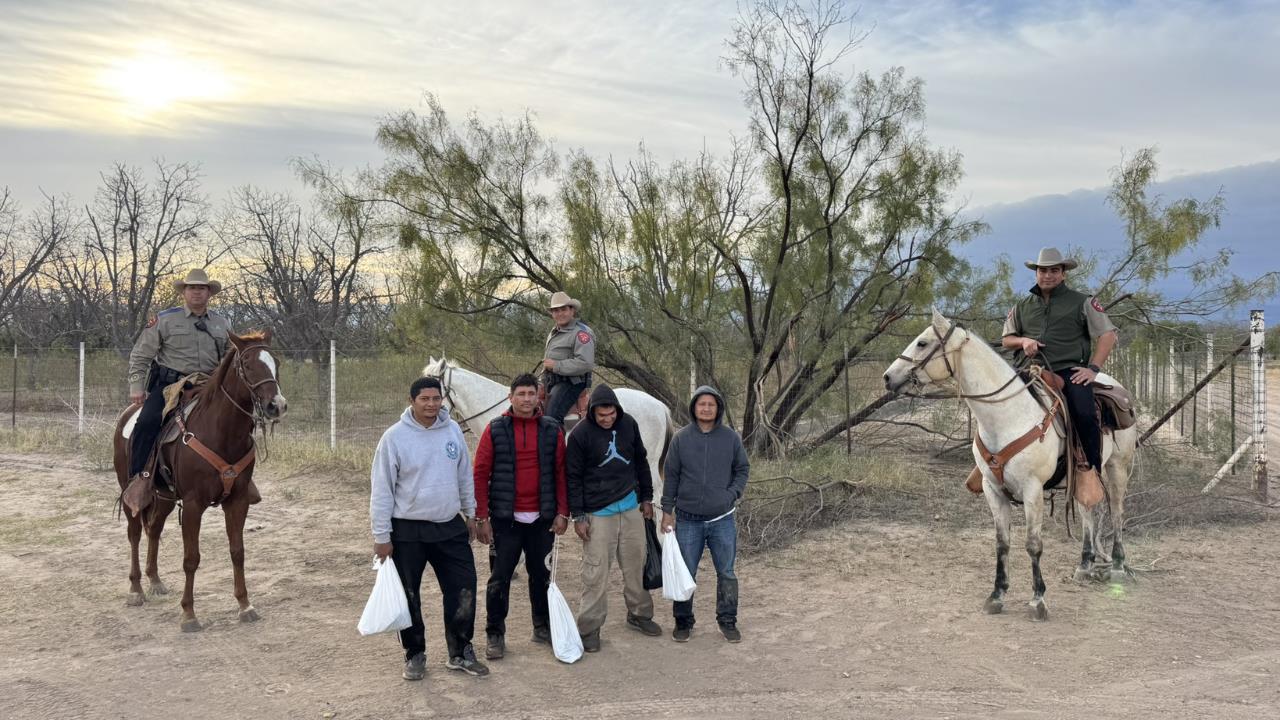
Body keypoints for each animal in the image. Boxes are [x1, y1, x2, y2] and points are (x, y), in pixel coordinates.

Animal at [113, 330, 288, 627]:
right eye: (248, 364)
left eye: (274, 362)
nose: (277, 405)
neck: (221, 432)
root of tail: (126, 414)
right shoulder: (194, 504)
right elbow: (191, 558)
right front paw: (189, 613)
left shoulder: (238, 501)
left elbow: (237, 551)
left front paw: (245, 605)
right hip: (129, 492)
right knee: (135, 533)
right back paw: (135, 589)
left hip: (164, 497)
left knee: (154, 529)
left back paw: (155, 580)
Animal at [880, 308, 1141, 617]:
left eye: (922, 343)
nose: (888, 377)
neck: (1008, 416)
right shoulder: (993, 490)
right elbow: (1002, 543)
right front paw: (997, 594)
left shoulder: (1032, 490)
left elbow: (1033, 544)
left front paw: (1038, 599)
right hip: (1083, 475)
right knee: (1087, 510)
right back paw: (1084, 565)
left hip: (1118, 468)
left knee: (1116, 510)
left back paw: (1118, 566)